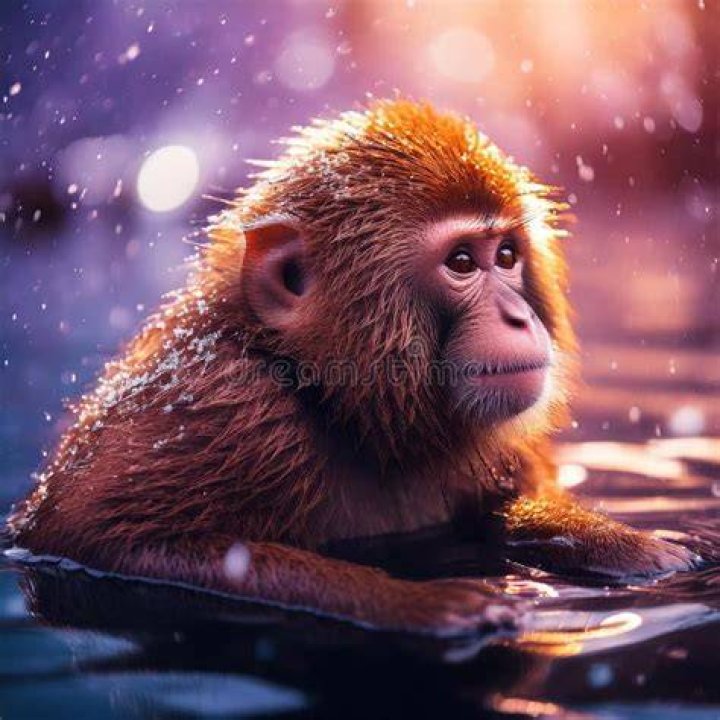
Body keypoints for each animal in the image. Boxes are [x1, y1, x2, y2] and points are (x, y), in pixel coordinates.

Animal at [6, 100, 699, 635]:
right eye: (462, 263)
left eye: (506, 255)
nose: (517, 317)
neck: (336, 399)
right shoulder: (224, 408)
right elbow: (98, 541)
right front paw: (420, 605)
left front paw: (629, 546)